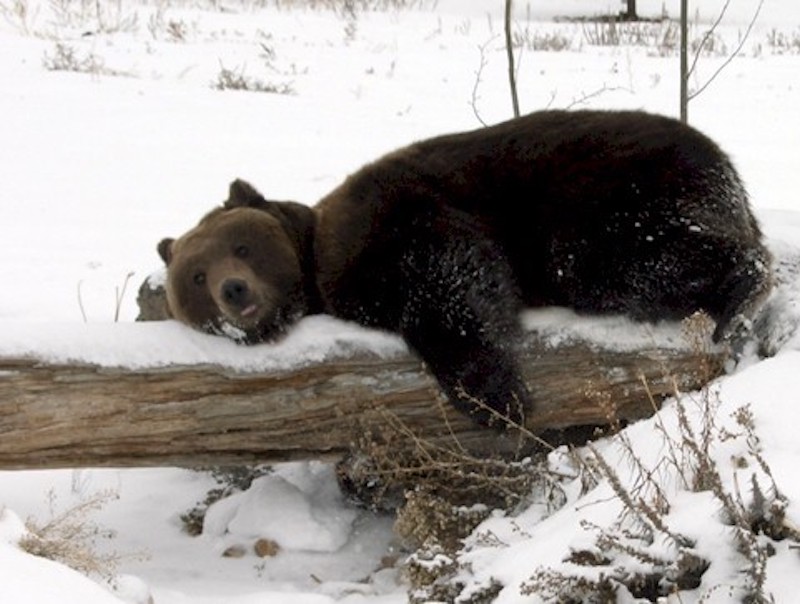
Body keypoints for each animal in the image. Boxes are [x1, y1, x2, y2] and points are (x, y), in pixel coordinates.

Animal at [155, 109, 768, 430]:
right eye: (195, 276)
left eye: (241, 247)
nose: (234, 290)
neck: (314, 260)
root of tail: (726, 164)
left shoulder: (388, 216)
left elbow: (447, 277)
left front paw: (496, 395)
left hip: (607, 192)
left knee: (626, 259)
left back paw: (742, 292)